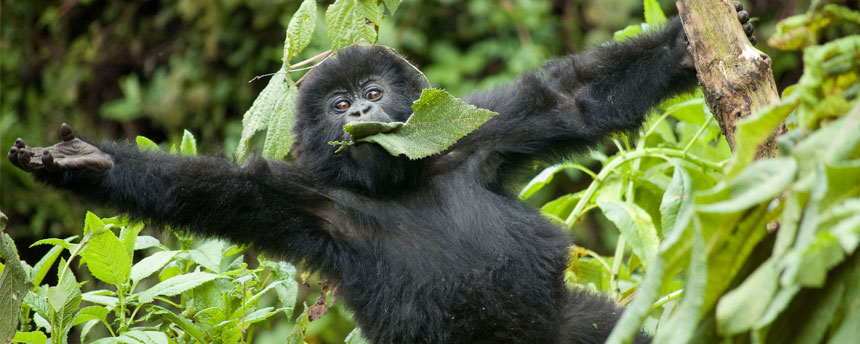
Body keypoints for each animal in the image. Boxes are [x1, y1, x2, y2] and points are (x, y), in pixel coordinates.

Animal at [10, 6, 756, 344]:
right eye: (339, 106)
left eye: (372, 91)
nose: (363, 113)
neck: (401, 183)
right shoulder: (306, 202)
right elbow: (216, 194)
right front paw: (90, 167)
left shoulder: (477, 133)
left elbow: (573, 101)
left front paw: (688, 45)